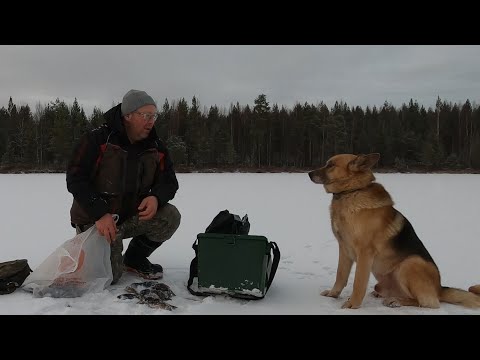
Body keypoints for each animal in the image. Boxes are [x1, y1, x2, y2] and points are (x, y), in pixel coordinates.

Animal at [308, 153, 480, 310]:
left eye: (331, 165)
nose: (309, 173)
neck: (352, 192)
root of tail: (440, 288)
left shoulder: (365, 253)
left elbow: (358, 283)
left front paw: (353, 305)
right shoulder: (344, 248)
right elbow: (340, 275)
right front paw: (333, 294)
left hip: (410, 263)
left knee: (428, 302)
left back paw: (396, 301)